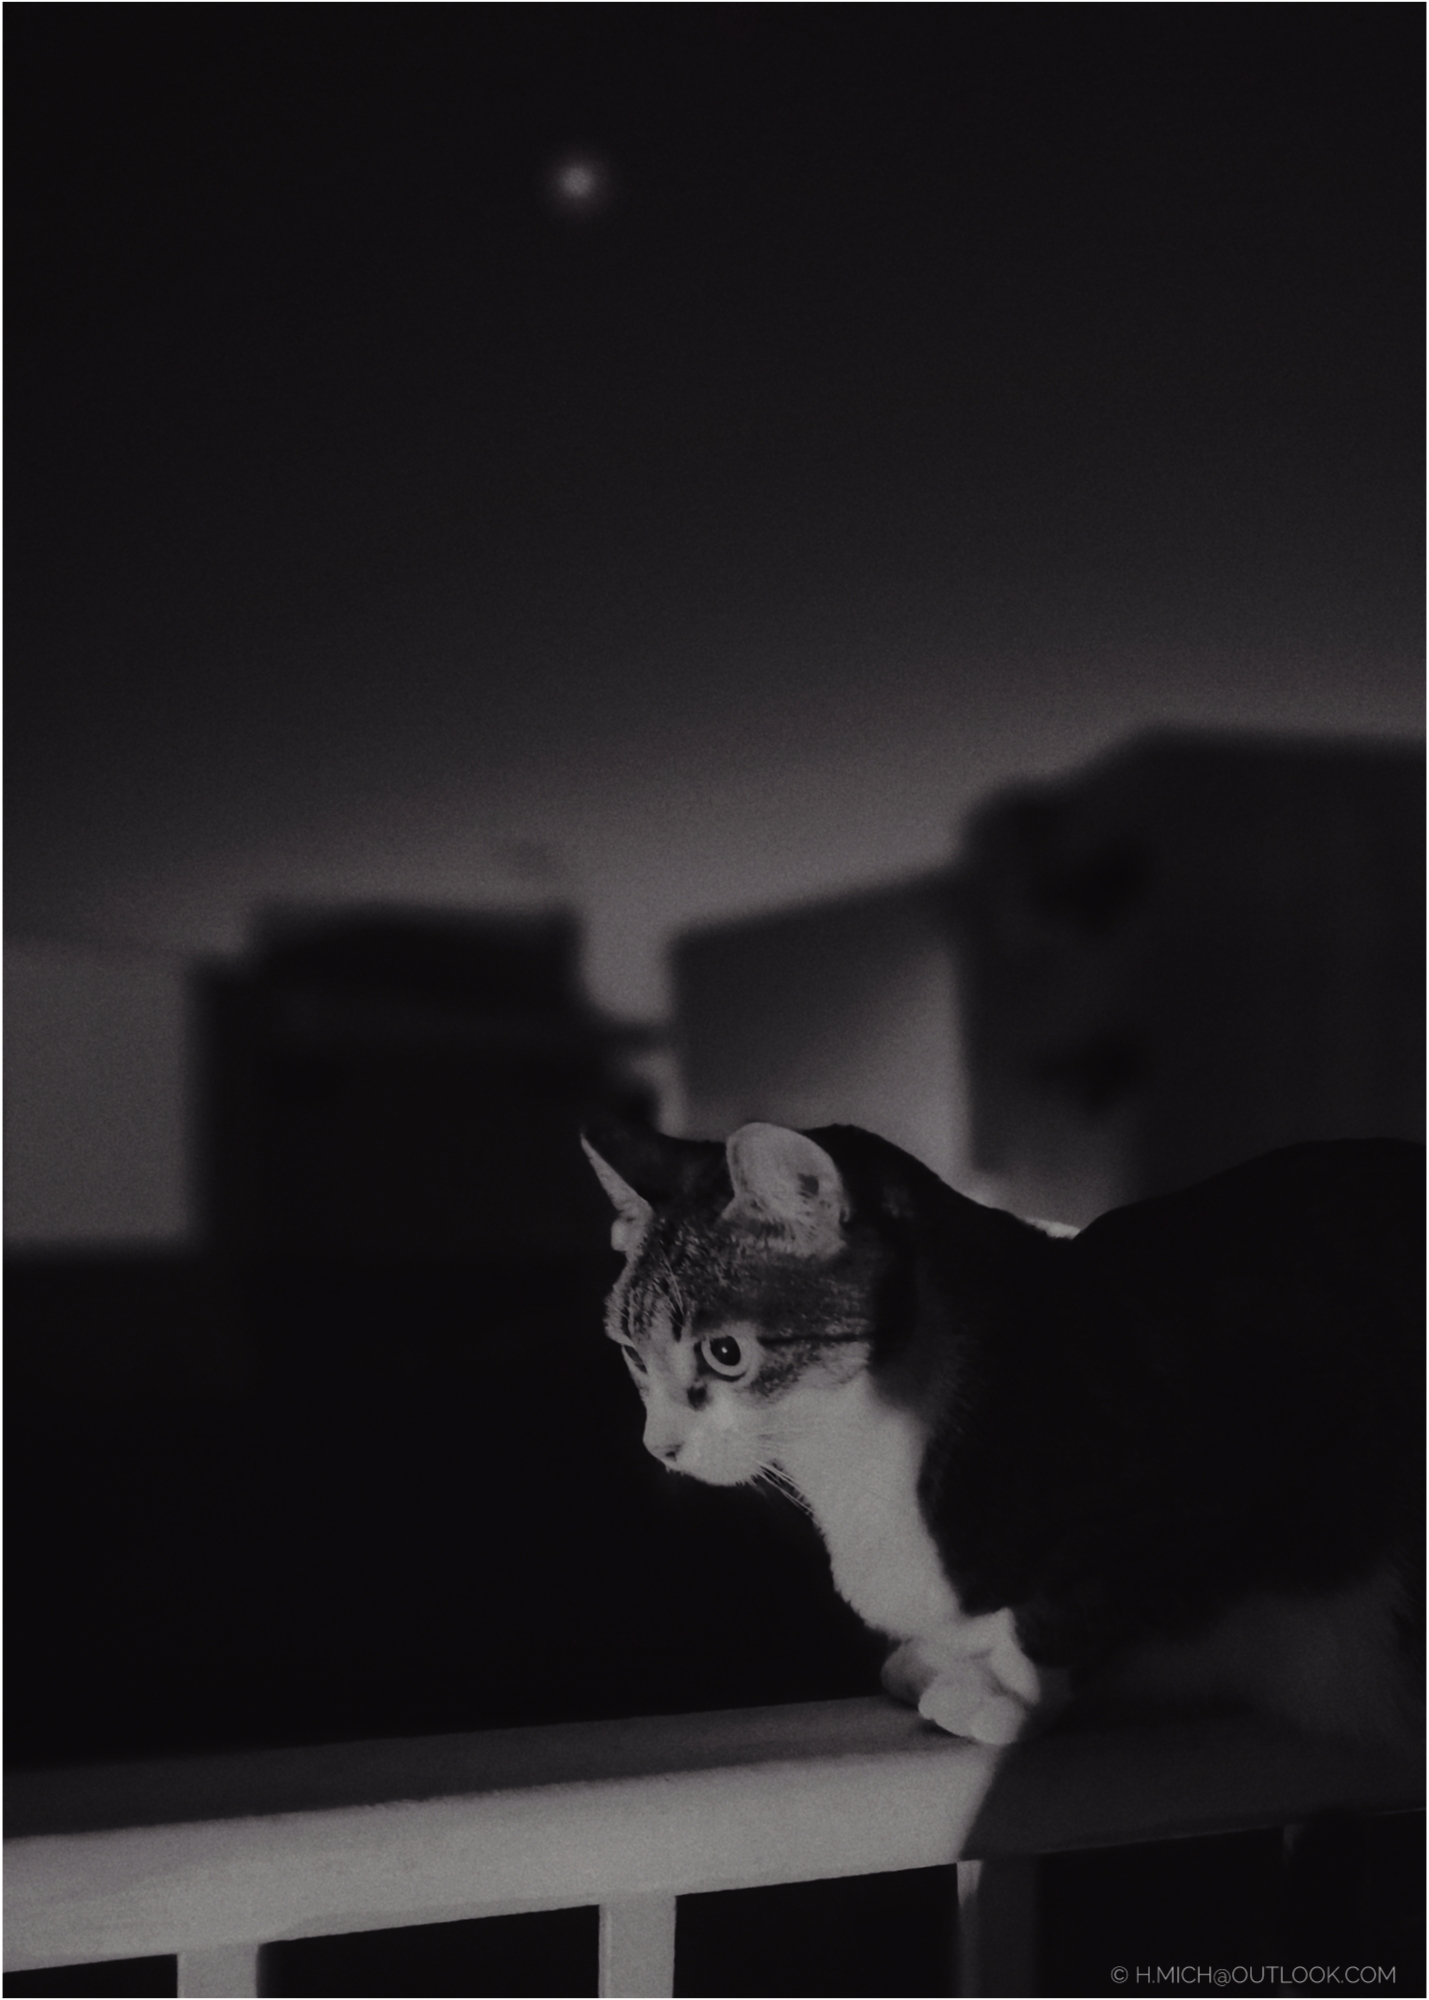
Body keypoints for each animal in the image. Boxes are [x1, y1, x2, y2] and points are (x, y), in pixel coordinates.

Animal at [583, 1119, 1423, 1750]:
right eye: (632, 1353)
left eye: (725, 1354)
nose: (659, 1446)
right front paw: (940, 1658)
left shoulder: (1222, 1478)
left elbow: (1081, 1596)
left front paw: (1006, 1690)